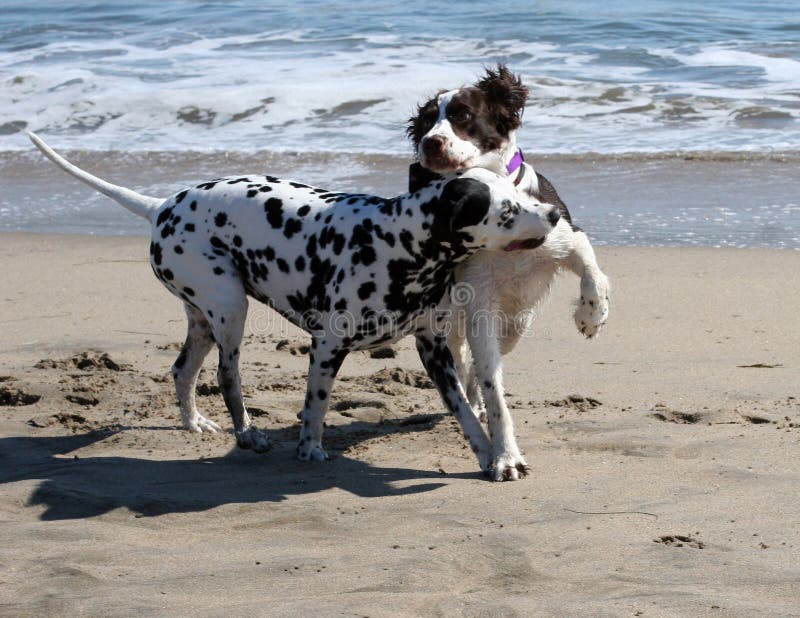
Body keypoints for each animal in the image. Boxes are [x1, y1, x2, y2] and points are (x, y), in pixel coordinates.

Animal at [28, 132, 560, 472]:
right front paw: (309, 450)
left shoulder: (436, 351)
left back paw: (194, 422)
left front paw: (492, 456)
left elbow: (468, 411)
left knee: (182, 371)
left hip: (204, 320)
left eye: (515, 191)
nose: (554, 213)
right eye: (506, 211)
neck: (397, 242)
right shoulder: (326, 348)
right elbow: (316, 405)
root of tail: (161, 207)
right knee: (227, 376)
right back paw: (247, 434)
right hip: (230, 312)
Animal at [410, 65, 608, 482]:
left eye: (463, 114)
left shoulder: (567, 234)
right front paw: (505, 457)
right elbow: (492, 385)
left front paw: (591, 316)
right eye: (426, 122)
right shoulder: (477, 301)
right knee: (466, 362)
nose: (430, 144)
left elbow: (592, 272)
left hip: (518, 322)